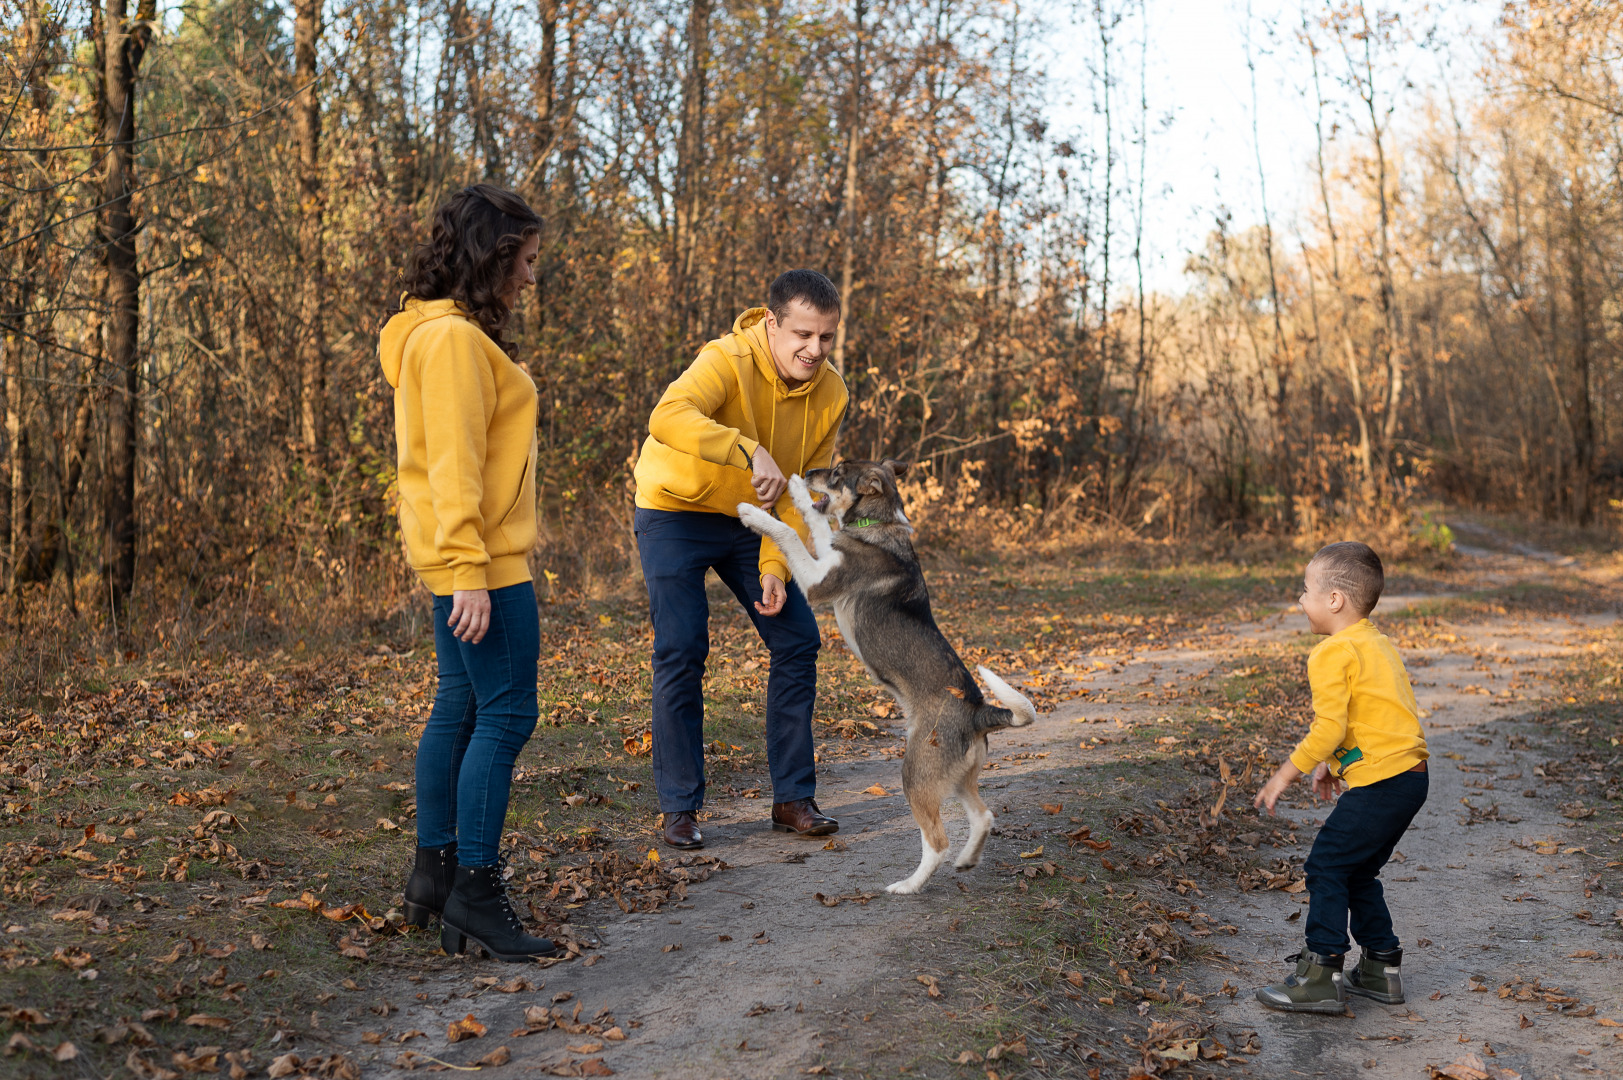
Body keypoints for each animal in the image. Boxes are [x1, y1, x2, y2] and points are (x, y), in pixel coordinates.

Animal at [740, 457, 1038, 889]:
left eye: (837, 473)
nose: (808, 471)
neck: (875, 525)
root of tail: (979, 711)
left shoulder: (817, 582)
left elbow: (794, 534)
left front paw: (754, 513)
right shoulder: (825, 554)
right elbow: (817, 522)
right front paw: (794, 491)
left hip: (915, 775)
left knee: (937, 841)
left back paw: (909, 885)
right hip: (955, 779)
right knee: (983, 817)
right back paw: (966, 861)